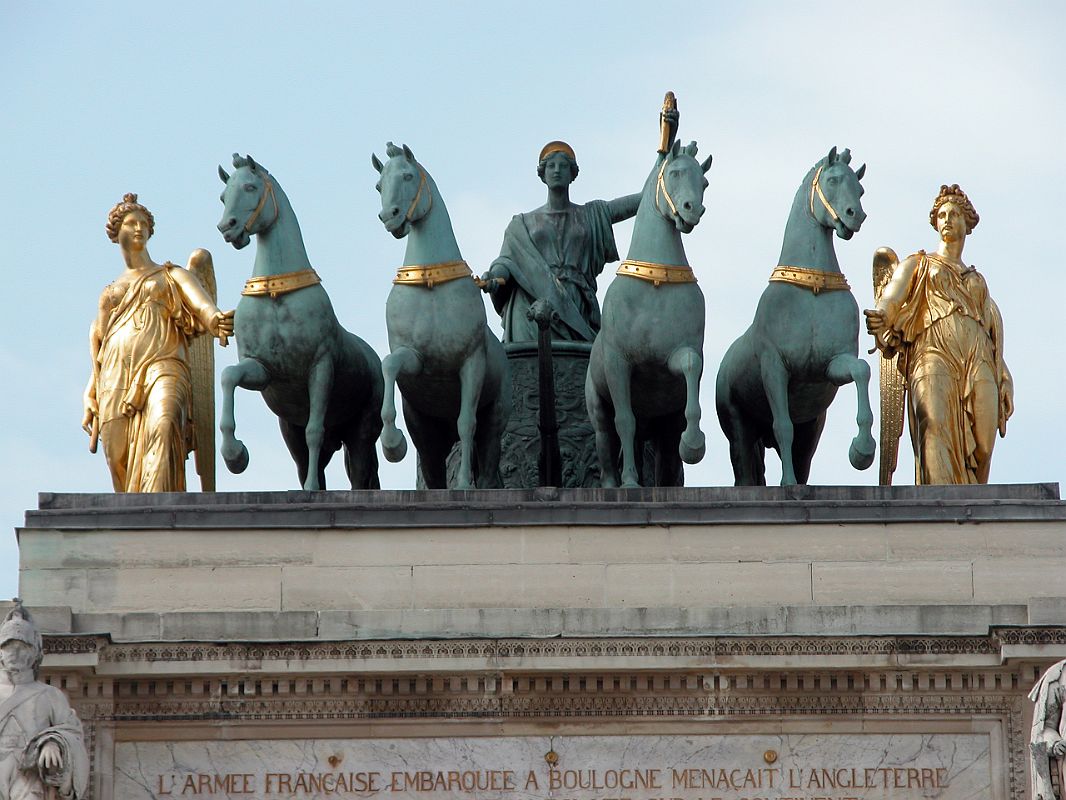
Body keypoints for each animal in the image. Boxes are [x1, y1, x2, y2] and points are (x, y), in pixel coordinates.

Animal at [216, 154, 383, 492]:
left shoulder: (321, 367)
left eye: (250, 187)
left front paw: (310, 490)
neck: (277, 294)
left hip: (362, 432)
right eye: (224, 197)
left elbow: (314, 430)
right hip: (289, 430)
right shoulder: (262, 369)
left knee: (359, 474)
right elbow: (229, 376)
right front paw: (235, 456)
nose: (228, 228)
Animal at [373, 142, 509, 488]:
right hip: (426, 433)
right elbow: (389, 364)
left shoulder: (471, 364)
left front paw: (462, 485)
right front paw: (392, 444)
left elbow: (466, 422)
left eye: (408, 176)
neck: (430, 283)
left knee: (485, 463)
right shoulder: (414, 357)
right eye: (379, 185)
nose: (390, 218)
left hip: (495, 419)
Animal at [588, 139, 712, 488]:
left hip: (662, 426)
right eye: (674, 172)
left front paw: (694, 444)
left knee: (665, 461)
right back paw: (613, 483)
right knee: (608, 439)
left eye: (704, 182)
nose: (692, 210)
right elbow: (624, 421)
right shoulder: (619, 363)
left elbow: (691, 365)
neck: (656, 280)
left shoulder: (675, 356)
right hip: (597, 406)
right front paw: (630, 481)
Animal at [716, 147, 874, 486]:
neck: (812, 290)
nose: (855, 216)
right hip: (739, 429)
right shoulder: (775, 368)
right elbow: (782, 425)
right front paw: (786, 484)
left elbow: (862, 370)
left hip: (811, 432)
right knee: (746, 469)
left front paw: (862, 452)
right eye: (832, 179)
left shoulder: (831, 365)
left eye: (860, 189)